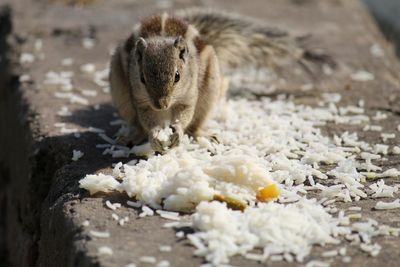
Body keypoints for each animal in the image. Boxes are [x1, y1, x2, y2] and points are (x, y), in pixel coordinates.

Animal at [108, 8, 332, 153]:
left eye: (177, 76)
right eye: (142, 78)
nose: (161, 104)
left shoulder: (189, 96)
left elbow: (185, 114)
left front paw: (178, 131)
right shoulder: (142, 101)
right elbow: (147, 118)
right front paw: (155, 135)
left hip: (209, 89)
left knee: (196, 123)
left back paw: (203, 134)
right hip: (121, 92)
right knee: (136, 123)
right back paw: (132, 136)